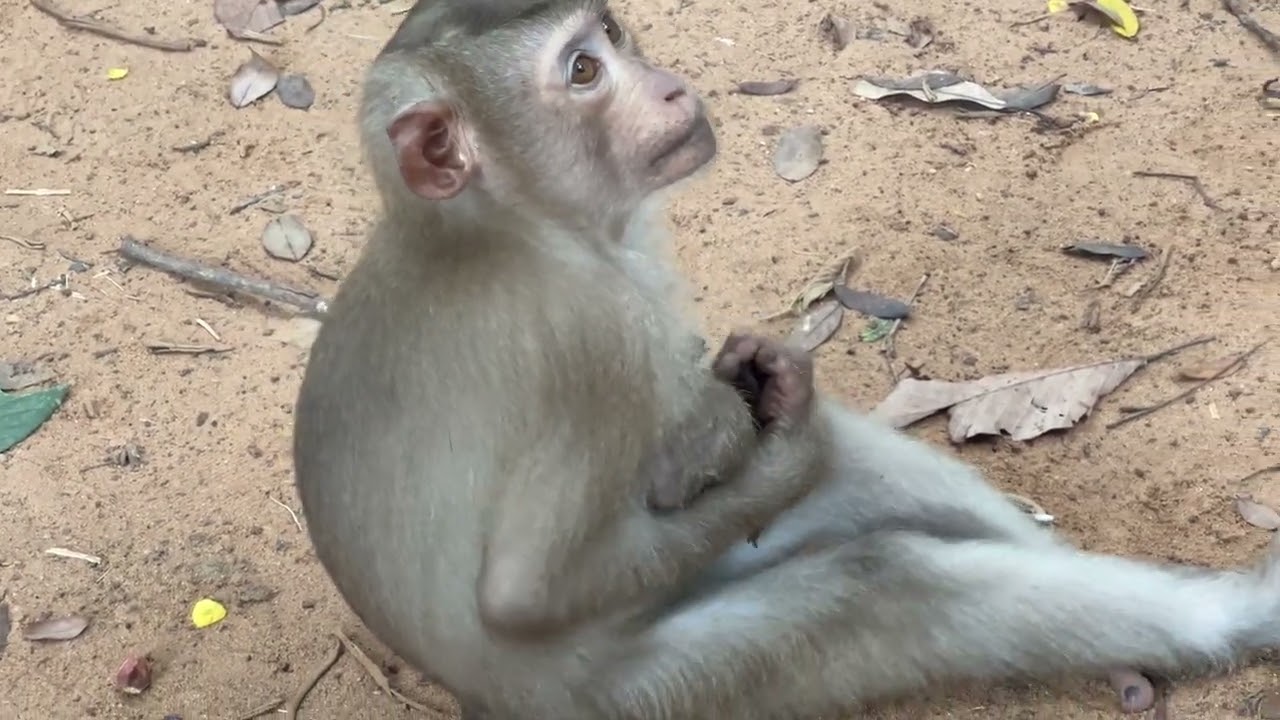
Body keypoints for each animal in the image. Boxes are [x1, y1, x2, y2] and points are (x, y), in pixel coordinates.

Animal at [292, 1, 1280, 718]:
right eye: (582, 73)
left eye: (612, 36)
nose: (669, 89)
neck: (501, 225)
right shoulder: (590, 346)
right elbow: (524, 596)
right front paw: (779, 439)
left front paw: (760, 383)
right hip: (646, 695)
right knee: (881, 584)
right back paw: (1229, 616)